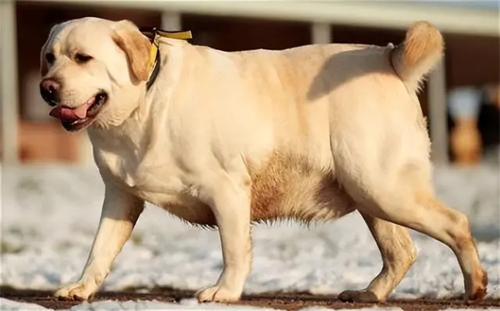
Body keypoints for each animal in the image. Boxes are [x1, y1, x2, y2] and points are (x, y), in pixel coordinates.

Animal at [40, 17, 488, 304]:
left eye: (82, 58)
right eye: (49, 57)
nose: (46, 88)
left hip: (383, 187)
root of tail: (390, 59)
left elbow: (234, 249)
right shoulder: (121, 196)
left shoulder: (227, 188)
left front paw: (225, 292)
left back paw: (475, 286)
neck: (144, 102)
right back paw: (369, 293)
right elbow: (99, 250)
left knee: (457, 224)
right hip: (370, 193)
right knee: (401, 251)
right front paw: (81, 288)